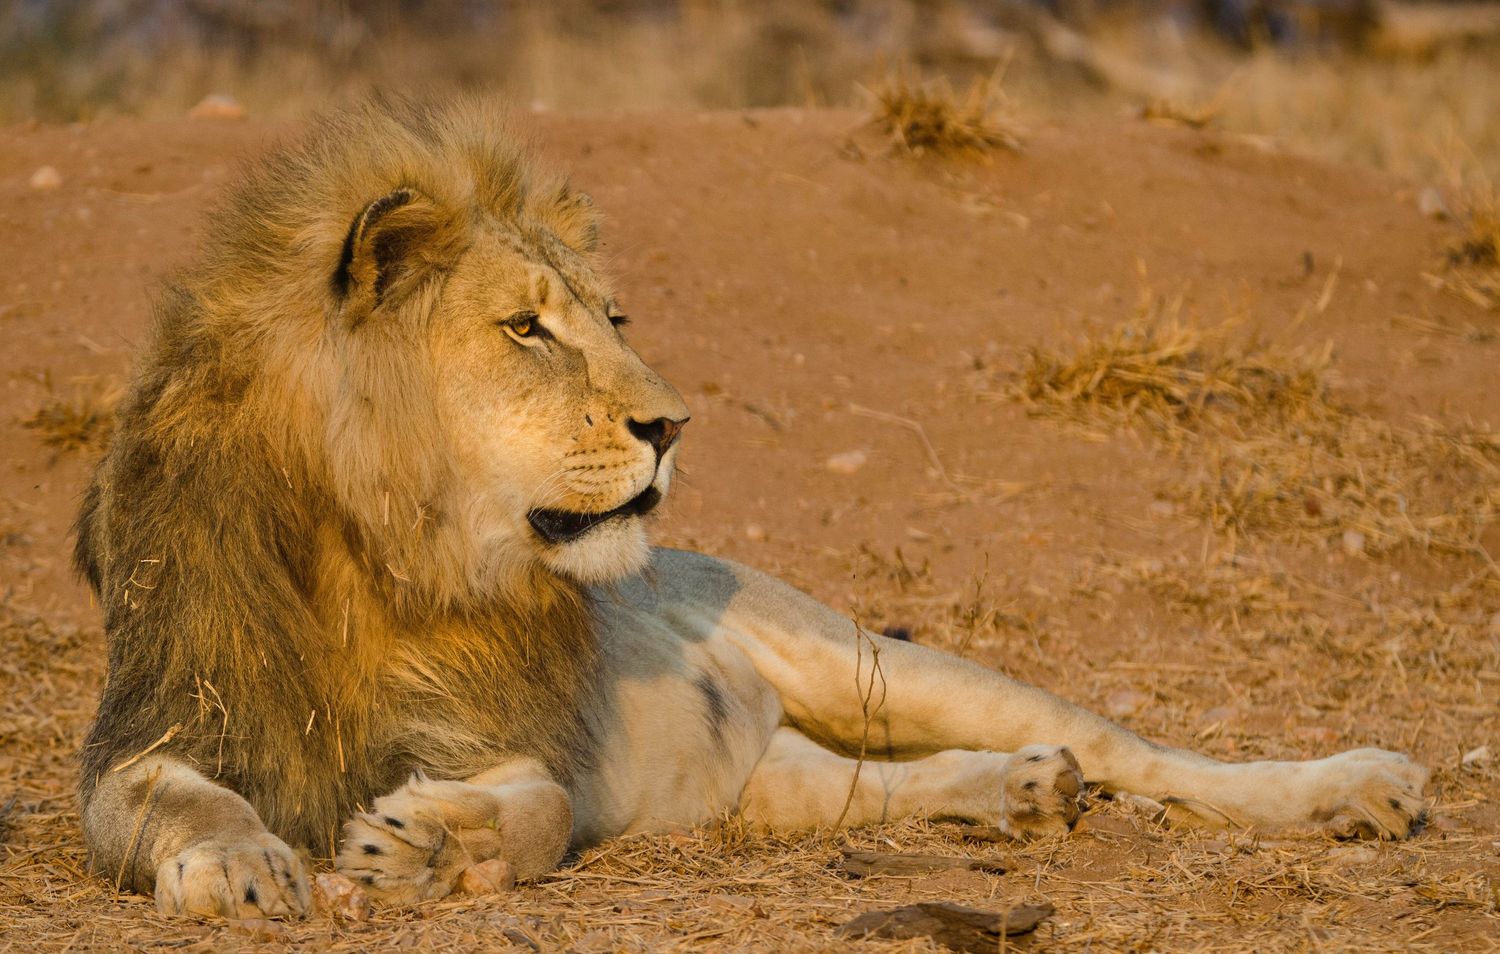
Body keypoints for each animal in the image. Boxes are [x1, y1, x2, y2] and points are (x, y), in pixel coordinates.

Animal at [74, 95, 1429, 919]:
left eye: (611, 319)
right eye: (526, 330)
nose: (671, 426)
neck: (387, 549)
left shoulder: (513, 735)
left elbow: (537, 810)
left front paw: (422, 845)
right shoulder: (154, 722)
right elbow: (171, 801)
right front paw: (242, 863)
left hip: (872, 656)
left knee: (1139, 749)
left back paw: (1361, 789)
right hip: (771, 781)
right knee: (885, 785)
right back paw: (1022, 793)